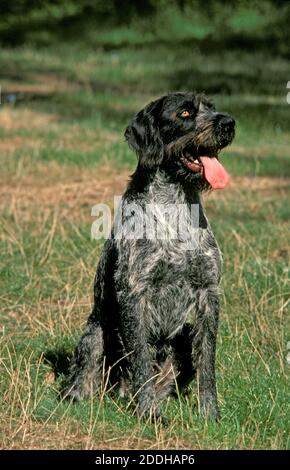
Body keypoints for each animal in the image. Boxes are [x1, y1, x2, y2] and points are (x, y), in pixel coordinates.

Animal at [64, 92, 236, 422]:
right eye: (185, 113)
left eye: (212, 107)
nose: (228, 123)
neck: (176, 207)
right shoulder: (134, 293)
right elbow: (140, 358)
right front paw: (148, 413)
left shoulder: (209, 292)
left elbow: (207, 360)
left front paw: (210, 413)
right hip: (95, 332)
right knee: (85, 370)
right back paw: (79, 394)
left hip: (182, 335)